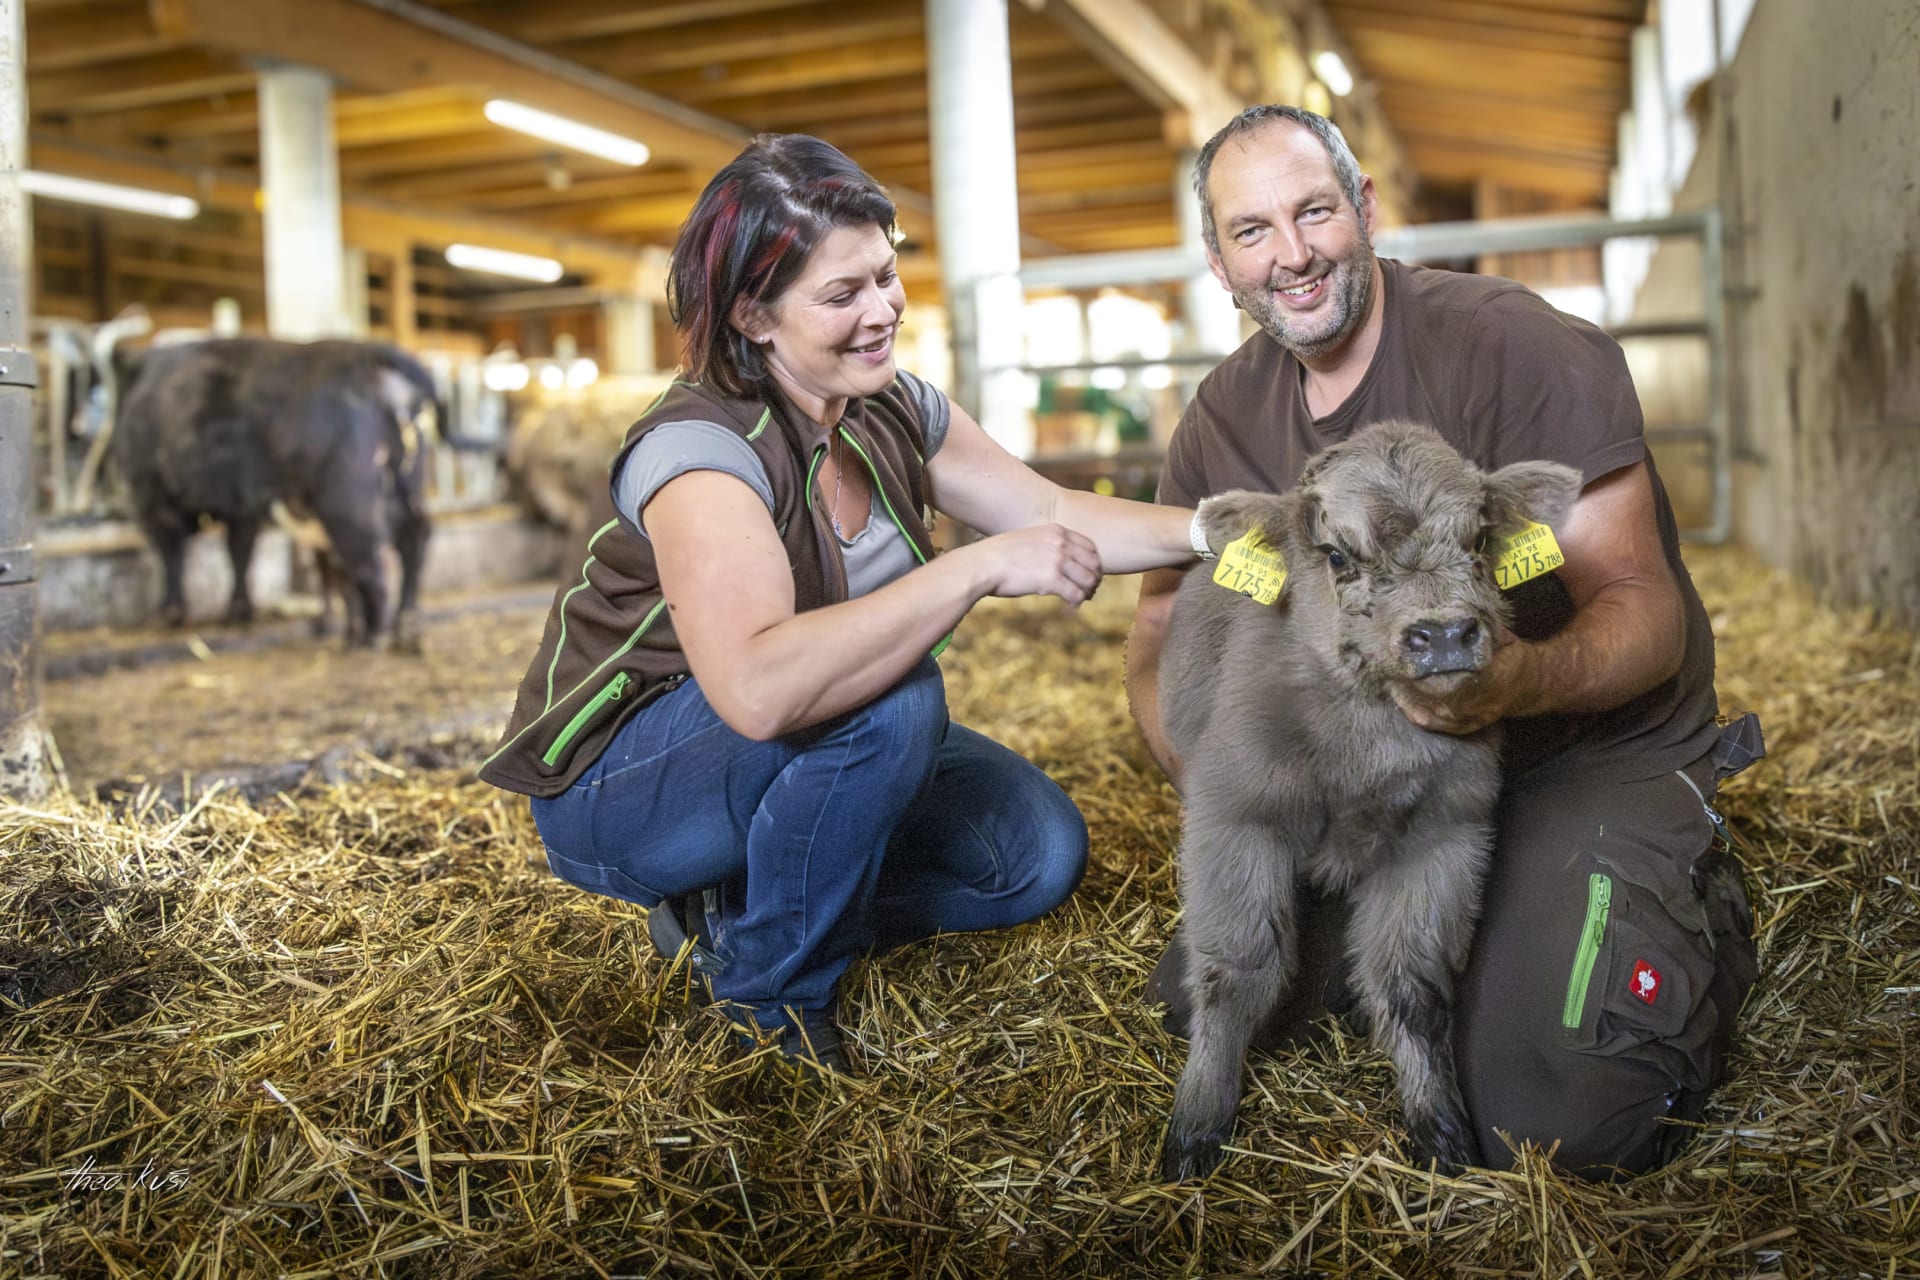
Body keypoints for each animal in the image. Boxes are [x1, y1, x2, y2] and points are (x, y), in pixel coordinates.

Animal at [112, 339, 440, 649]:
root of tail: (372, 353)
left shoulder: (149, 498)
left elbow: (174, 556)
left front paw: (168, 615)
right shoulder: (242, 509)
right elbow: (240, 552)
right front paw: (239, 613)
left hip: (348, 500)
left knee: (372, 563)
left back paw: (374, 638)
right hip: (405, 484)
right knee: (412, 539)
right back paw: (397, 629)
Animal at [1156, 419, 1583, 1181]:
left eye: (1479, 540)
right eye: (1335, 553)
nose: (1442, 635)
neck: (1364, 759)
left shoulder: (1445, 841)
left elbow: (1413, 991)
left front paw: (1440, 1131)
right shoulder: (1235, 821)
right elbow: (1236, 976)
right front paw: (1199, 1124)